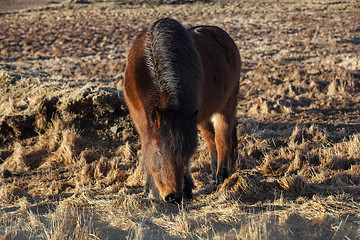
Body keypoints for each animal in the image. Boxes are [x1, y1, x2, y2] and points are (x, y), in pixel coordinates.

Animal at [124, 17, 242, 203]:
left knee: (222, 140)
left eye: (186, 152)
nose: (173, 196)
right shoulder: (143, 121)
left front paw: (187, 189)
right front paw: (148, 189)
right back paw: (213, 175)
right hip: (202, 117)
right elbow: (146, 149)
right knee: (211, 140)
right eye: (159, 149)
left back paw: (221, 178)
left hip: (226, 106)